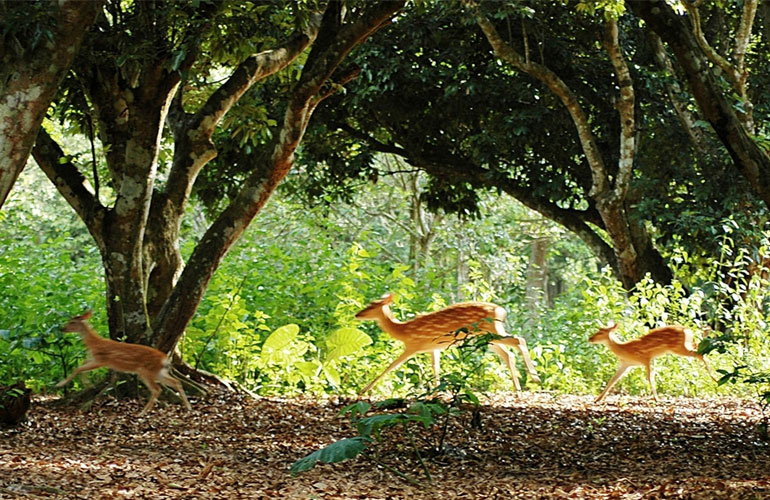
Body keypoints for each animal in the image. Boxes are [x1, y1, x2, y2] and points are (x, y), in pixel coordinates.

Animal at [56, 311, 191, 415]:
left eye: (73, 322)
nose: (62, 328)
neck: (93, 344)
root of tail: (165, 358)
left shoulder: (102, 360)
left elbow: (78, 368)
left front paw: (60, 383)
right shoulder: (92, 358)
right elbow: (81, 366)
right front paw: (87, 383)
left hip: (145, 371)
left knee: (157, 389)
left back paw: (142, 412)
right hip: (158, 372)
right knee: (176, 382)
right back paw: (188, 407)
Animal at [355, 293, 540, 395]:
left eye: (371, 305)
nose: (357, 315)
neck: (402, 331)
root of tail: (502, 311)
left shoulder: (413, 346)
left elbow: (390, 367)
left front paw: (363, 391)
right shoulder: (433, 348)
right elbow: (435, 367)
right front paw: (435, 393)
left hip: (491, 330)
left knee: (518, 340)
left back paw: (534, 377)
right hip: (486, 336)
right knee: (508, 353)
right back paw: (519, 388)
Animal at [589, 323, 719, 403]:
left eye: (601, 332)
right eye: (598, 330)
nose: (590, 339)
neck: (625, 350)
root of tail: (687, 330)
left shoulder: (646, 358)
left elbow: (650, 377)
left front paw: (657, 399)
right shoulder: (625, 364)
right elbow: (613, 379)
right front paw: (598, 399)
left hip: (678, 348)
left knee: (700, 354)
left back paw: (715, 378)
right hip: (684, 345)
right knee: (700, 349)